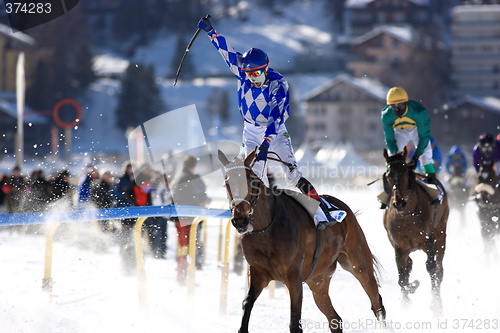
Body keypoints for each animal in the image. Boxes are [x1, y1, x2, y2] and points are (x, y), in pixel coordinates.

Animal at [217, 148, 384, 332]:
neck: (267, 230)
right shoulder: (258, 273)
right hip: (318, 281)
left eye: (249, 181)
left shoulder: (294, 277)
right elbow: (247, 303)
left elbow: (295, 322)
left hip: (359, 263)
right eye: (226, 184)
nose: (240, 220)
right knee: (335, 319)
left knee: (376, 303)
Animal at [382, 147, 450, 312]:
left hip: (441, 231)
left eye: (406, 173)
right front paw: (406, 302)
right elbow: (402, 275)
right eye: (388, 175)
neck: (407, 215)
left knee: (439, 268)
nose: (399, 202)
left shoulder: (429, 240)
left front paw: (435, 303)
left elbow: (432, 268)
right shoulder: (399, 247)